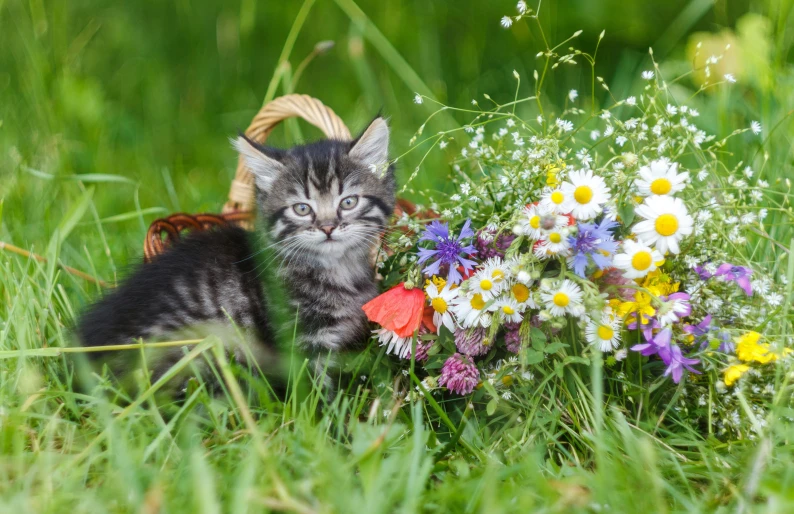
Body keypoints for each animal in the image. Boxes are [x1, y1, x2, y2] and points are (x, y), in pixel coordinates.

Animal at [77, 116, 392, 388]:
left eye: (348, 202)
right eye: (302, 209)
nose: (328, 227)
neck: (338, 270)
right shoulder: (299, 340)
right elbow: (314, 388)